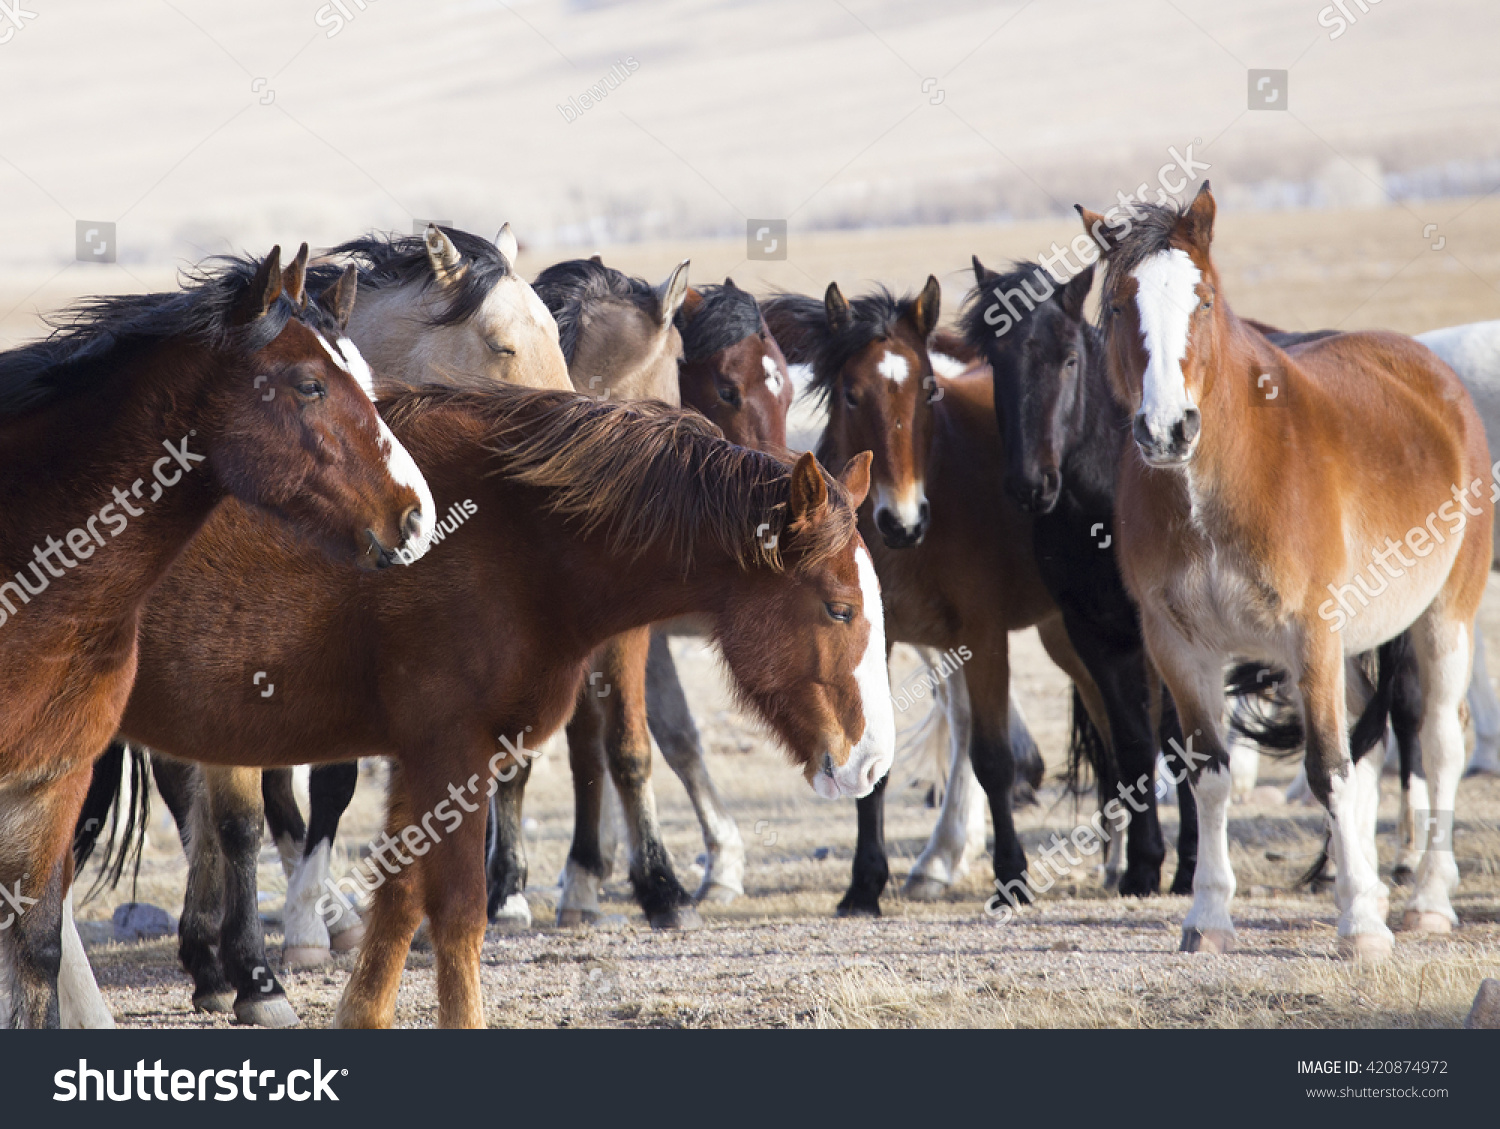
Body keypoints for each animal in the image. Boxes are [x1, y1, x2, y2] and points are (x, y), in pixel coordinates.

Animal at [114, 383, 900, 1025]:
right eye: (839, 608)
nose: (871, 764)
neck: (515, 534)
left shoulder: (428, 757)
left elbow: (401, 901)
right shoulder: (451, 749)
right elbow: (458, 910)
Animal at [1086, 185, 1494, 959]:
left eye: (1204, 299)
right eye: (1120, 305)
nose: (1167, 428)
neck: (1219, 479)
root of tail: (1429, 372)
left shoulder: (1310, 635)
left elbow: (1327, 770)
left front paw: (1361, 926)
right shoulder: (1180, 647)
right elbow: (1211, 774)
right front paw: (1208, 916)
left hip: (1442, 620)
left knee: (1439, 743)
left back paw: (1426, 900)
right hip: (1355, 648)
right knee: (1371, 753)